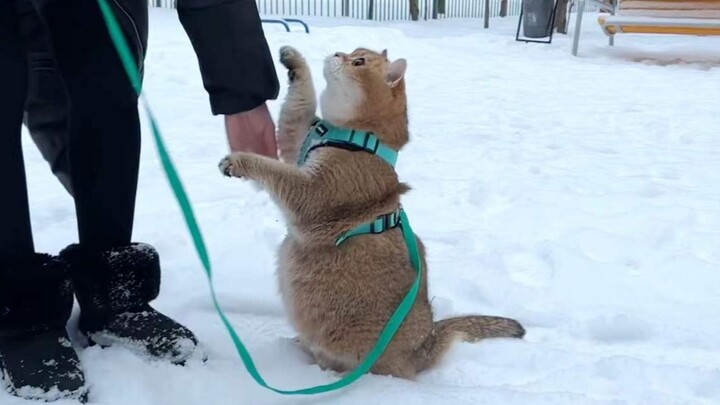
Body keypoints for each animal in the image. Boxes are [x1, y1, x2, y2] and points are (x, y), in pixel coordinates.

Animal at [217, 45, 524, 378]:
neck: (360, 136)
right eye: (354, 52)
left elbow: (275, 170)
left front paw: (238, 161)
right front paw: (293, 58)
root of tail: (424, 348)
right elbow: (299, 103)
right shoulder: (298, 138)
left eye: (359, 61)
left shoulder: (314, 190)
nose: (337, 52)